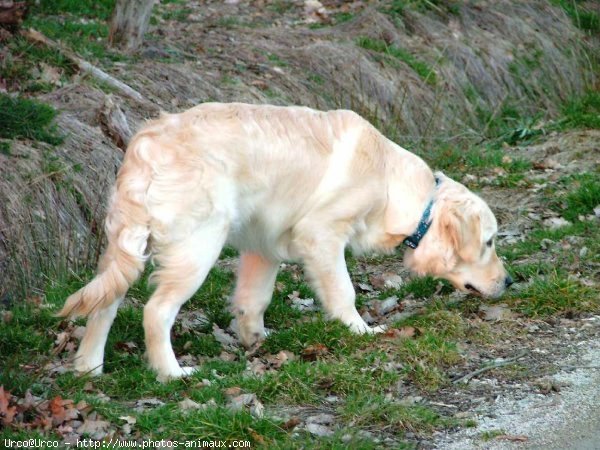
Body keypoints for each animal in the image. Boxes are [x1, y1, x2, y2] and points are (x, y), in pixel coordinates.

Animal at [59, 103, 510, 380]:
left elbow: (253, 300)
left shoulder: (263, 246)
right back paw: (172, 374)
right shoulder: (322, 235)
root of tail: (146, 144)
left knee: (104, 305)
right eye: (489, 242)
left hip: (127, 247)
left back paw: (89, 367)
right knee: (156, 312)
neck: (393, 185)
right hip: (199, 246)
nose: (510, 282)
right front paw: (361, 330)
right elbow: (343, 291)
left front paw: (256, 341)